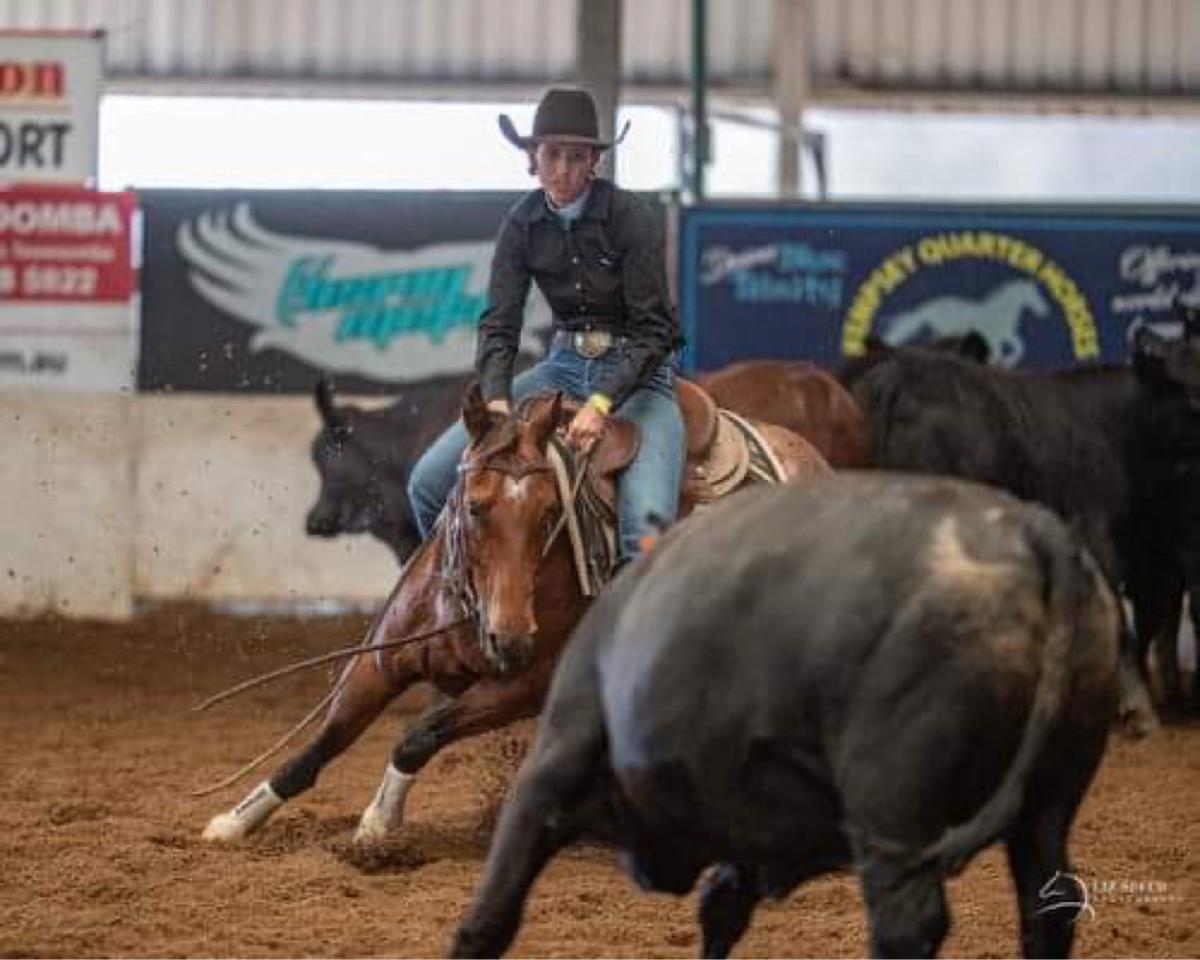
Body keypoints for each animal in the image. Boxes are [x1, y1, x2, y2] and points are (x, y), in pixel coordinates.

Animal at [202, 382, 831, 844]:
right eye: (475, 507)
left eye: (551, 512)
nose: (510, 637)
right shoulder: (381, 663)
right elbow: (322, 743)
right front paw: (237, 818)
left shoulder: (526, 684)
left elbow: (418, 735)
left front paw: (379, 821)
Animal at [450, 473, 1120, 959]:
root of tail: (1035, 537)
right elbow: (722, 906)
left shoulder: (550, 771)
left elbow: (487, 919)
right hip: (1048, 802)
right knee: (1049, 905)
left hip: (894, 817)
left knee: (908, 923)